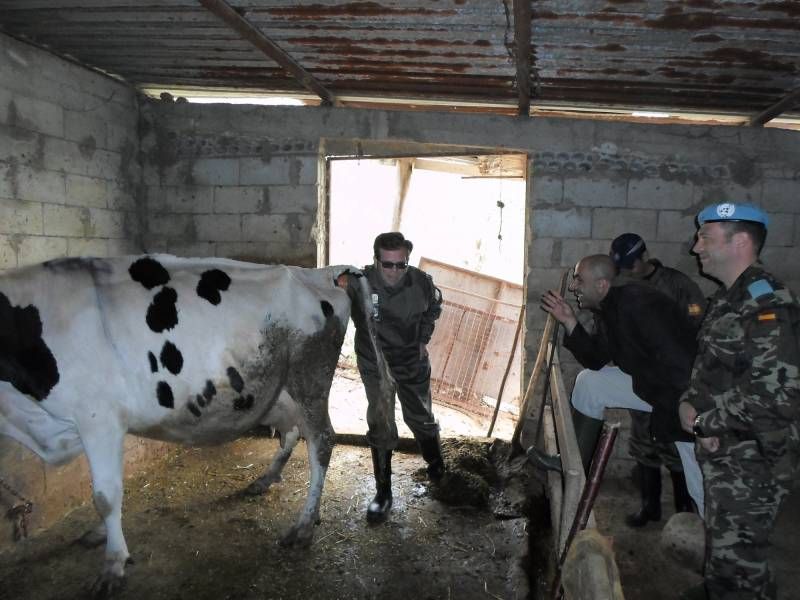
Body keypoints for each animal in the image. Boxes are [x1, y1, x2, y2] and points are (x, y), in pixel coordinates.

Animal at [0, 253, 394, 596]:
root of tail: (322, 272)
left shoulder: (98, 417)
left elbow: (105, 495)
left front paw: (113, 565)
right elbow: (110, 488)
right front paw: (101, 536)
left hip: (309, 378)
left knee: (321, 441)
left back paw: (303, 526)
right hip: (279, 389)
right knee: (293, 430)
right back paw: (265, 480)